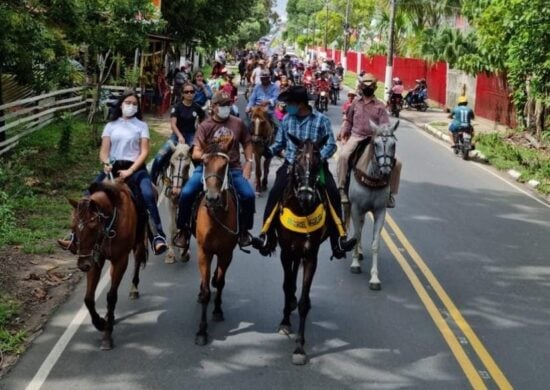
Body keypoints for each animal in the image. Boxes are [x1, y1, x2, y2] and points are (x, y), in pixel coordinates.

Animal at [66, 181, 147, 348]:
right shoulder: (96, 259)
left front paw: (107, 333)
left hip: (139, 242)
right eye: (73, 227)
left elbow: (111, 296)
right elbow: (88, 299)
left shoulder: (121, 260)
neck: (111, 224)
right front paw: (100, 323)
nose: (83, 265)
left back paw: (134, 289)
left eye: (93, 226)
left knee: (137, 260)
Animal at [348, 121, 398, 290]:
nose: (386, 172)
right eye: (375, 144)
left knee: (362, 225)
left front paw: (375, 278)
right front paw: (355, 264)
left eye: (393, 145)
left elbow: (376, 244)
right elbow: (356, 235)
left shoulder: (380, 211)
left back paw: (360, 252)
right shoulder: (356, 207)